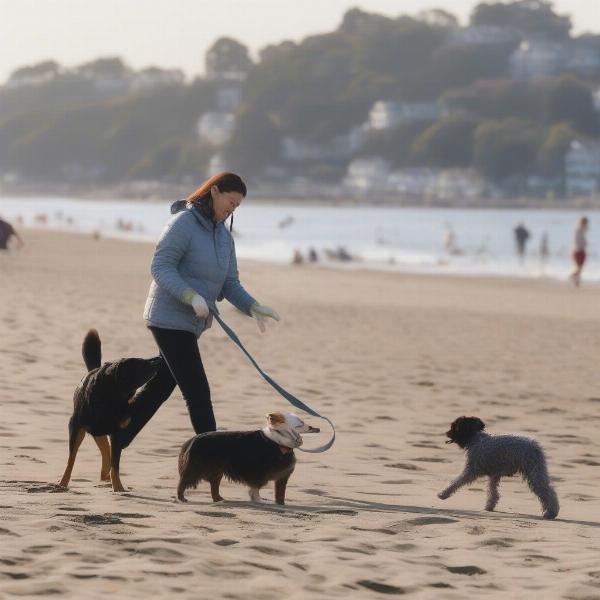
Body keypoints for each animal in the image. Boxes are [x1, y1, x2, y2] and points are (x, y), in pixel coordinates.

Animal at [59, 328, 161, 492]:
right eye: (141, 363)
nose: (159, 357)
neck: (112, 398)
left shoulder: (117, 433)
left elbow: (115, 463)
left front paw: (118, 487)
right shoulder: (75, 426)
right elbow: (71, 459)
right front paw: (62, 483)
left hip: (102, 432)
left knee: (107, 456)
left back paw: (106, 479)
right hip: (94, 430)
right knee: (104, 454)